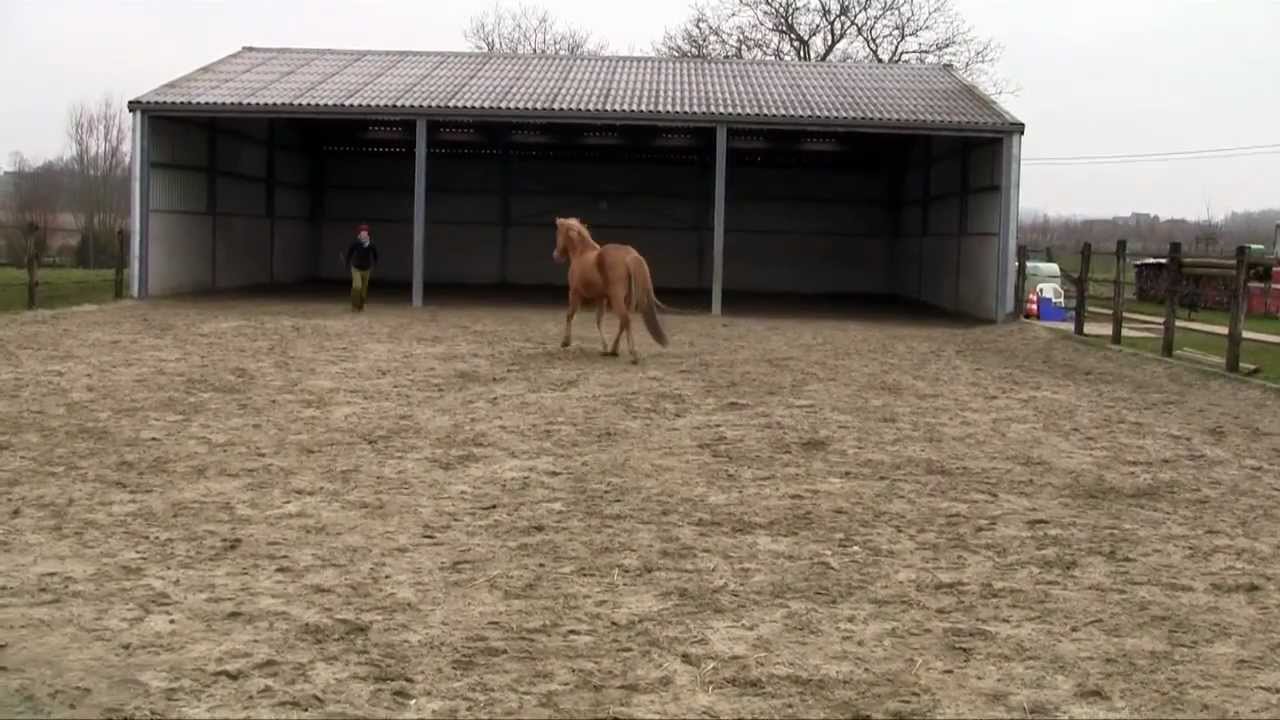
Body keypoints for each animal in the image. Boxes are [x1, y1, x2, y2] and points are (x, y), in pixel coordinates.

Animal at [552, 217, 670, 364]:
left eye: (558, 233)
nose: (555, 255)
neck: (582, 253)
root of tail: (630, 255)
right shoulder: (601, 297)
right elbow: (599, 320)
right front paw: (605, 348)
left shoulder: (574, 293)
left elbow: (570, 315)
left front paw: (565, 342)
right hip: (626, 299)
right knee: (623, 322)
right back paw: (615, 350)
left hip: (616, 298)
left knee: (625, 320)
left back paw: (633, 353)